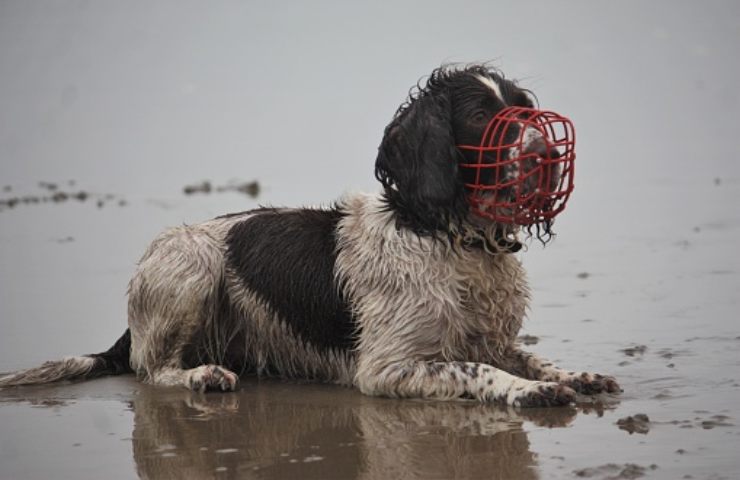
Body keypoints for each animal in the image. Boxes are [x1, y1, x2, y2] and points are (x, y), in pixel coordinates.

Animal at [0, 63, 620, 406]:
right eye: (481, 118)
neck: (450, 240)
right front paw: (527, 392)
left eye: (523, 109)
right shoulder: (388, 368)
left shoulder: (490, 338)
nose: (547, 156)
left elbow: (528, 356)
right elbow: (484, 370)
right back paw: (202, 375)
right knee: (148, 370)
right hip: (189, 259)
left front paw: (573, 374)